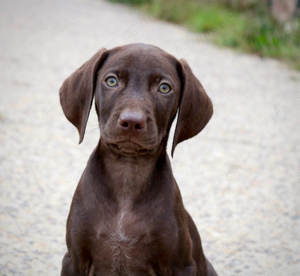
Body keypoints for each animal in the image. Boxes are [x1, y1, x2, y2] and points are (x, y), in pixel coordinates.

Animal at [59, 43, 218, 276]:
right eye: (111, 81)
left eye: (164, 88)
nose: (132, 122)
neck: (128, 172)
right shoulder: (74, 260)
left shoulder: (181, 266)